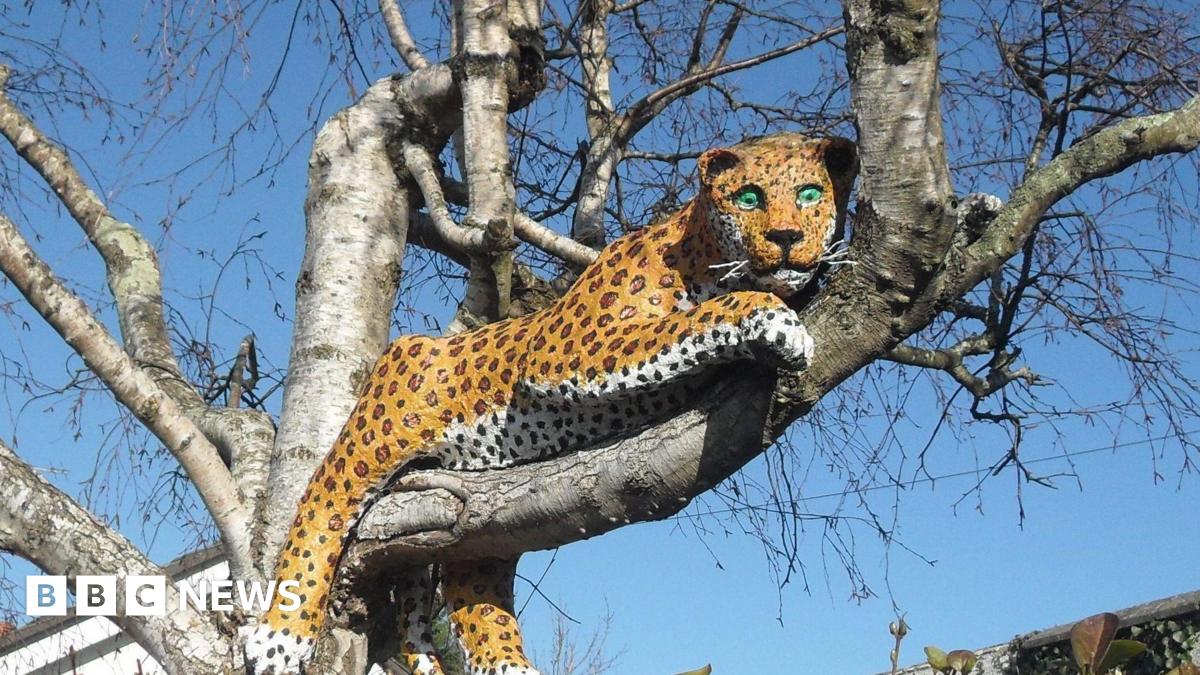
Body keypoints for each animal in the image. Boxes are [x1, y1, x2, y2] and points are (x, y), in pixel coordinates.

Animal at [244, 132, 858, 674]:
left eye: (810, 193)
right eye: (749, 197)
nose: (786, 236)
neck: (700, 248)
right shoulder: (567, 349)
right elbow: (694, 319)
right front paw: (777, 321)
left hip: (477, 524)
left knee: (475, 595)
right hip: (384, 425)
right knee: (323, 500)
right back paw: (280, 634)